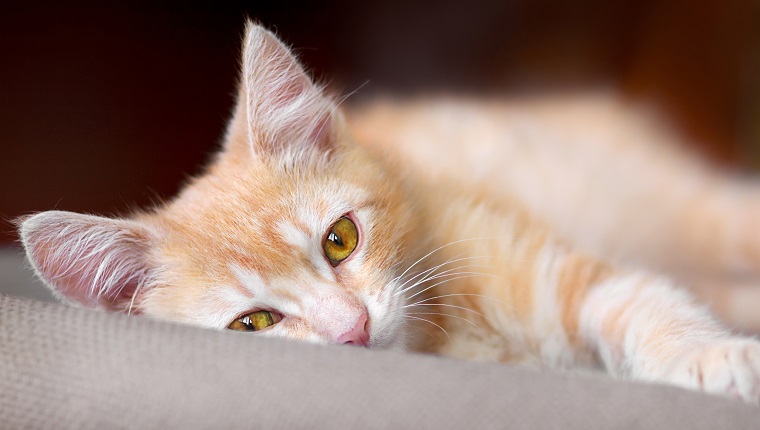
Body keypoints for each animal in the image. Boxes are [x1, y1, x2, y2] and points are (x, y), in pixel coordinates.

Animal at [17, 21, 760, 404]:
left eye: (340, 240)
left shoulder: (546, 262)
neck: (440, 335)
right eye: (253, 324)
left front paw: (705, 356)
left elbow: (638, 298)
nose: (353, 330)